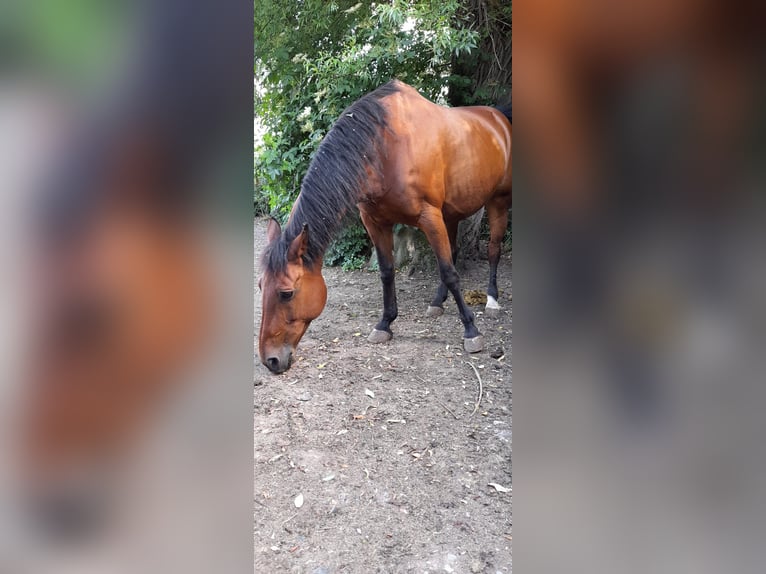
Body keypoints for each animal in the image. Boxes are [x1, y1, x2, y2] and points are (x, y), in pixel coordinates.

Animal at [260, 82, 516, 378]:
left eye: (286, 293)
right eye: (260, 286)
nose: (270, 360)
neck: (385, 148)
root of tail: (498, 117)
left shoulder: (429, 217)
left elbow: (451, 273)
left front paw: (471, 331)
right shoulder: (375, 221)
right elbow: (387, 272)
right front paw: (385, 323)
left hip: (497, 202)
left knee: (493, 250)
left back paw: (492, 300)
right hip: (450, 214)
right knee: (452, 251)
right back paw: (437, 302)